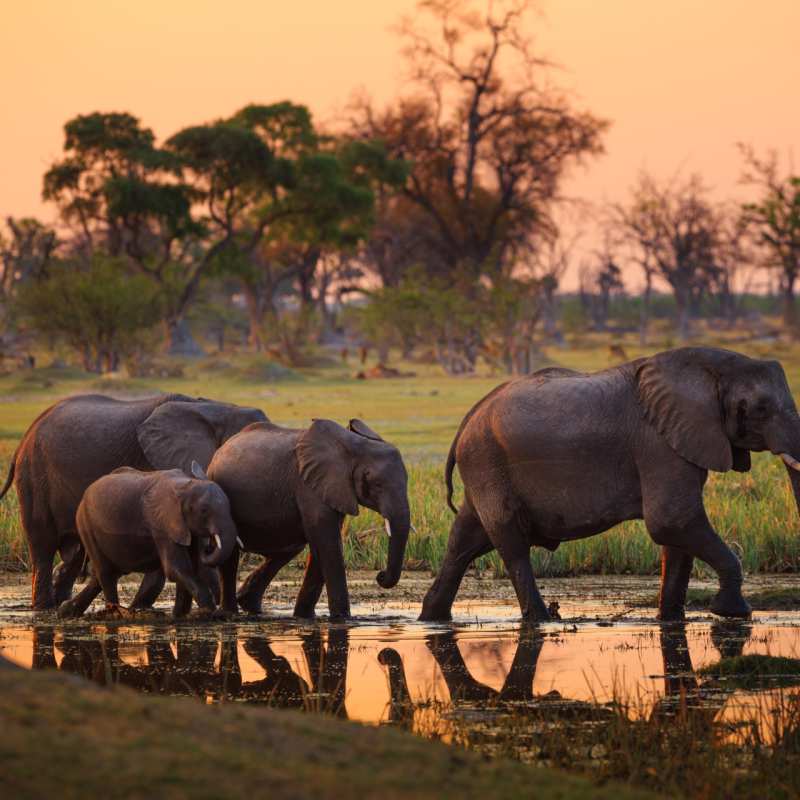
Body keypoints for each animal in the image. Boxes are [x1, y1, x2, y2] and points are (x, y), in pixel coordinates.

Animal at [58, 462, 239, 619]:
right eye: (204, 510)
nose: (209, 546)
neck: (186, 486)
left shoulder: (184, 528)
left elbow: (191, 566)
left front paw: (180, 616)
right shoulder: (161, 524)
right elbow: (176, 568)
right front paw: (208, 611)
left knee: (105, 575)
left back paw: (66, 611)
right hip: (85, 524)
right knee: (106, 573)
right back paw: (114, 613)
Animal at [207, 418, 411, 619]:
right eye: (377, 484)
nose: (380, 575)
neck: (353, 445)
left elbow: (323, 542)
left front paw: (305, 617)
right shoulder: (308, 485)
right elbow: (328, 542)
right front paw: (342, 619)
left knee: (288, 549)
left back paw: (250, 605)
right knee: (230, 555)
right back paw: (230, 613)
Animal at [421, 347, 800, 623]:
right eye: (760, 408)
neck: (713, 368)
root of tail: (469, 417)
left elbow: (676, 535)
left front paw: (671, 620)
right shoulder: (658, 443)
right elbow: (672, 521)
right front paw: (734, 613)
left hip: (483, 469)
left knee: (464, 540)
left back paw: (432, 618)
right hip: (487, 462)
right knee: (511, 544)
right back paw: (543, 620)